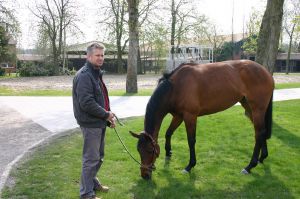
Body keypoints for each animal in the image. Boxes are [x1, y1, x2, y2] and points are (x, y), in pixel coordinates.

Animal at [130, 59, 274, 180]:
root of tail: (265, 71)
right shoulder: (178, 116)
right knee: (261, 132)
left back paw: (249, 166)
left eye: (150, 150)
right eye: (138, 150)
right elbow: (168, 133)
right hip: (248, 108)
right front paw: (168, 152)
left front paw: (189, 166)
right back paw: (262, 157)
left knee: (259, 133)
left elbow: (191, 141)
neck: (176, 87)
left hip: (257, 109)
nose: (144, 175)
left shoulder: (190, 116)